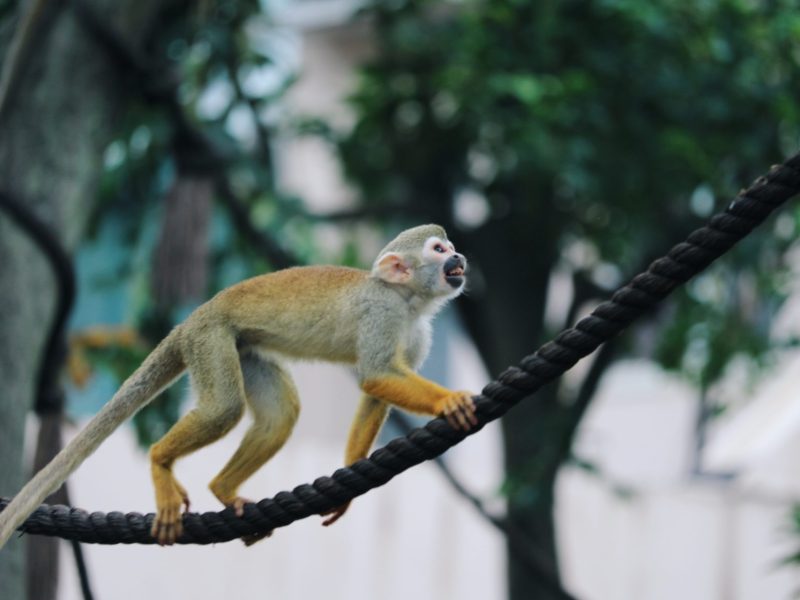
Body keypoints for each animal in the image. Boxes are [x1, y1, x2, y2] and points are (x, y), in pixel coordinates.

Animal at [0, 224, 477, 547]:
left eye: (452, 247)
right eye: (439, 250)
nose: (460, 259)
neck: (407, 300)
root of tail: (191, 319)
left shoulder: (417, 333)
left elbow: (376, 387)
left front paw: (349, 476)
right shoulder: (382, 311)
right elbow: (376, 374)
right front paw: (450, 401)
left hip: (240, 345)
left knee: (281, 412)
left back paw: (223, 489)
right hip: (209, 339)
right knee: (223, 409)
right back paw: (160, 461)